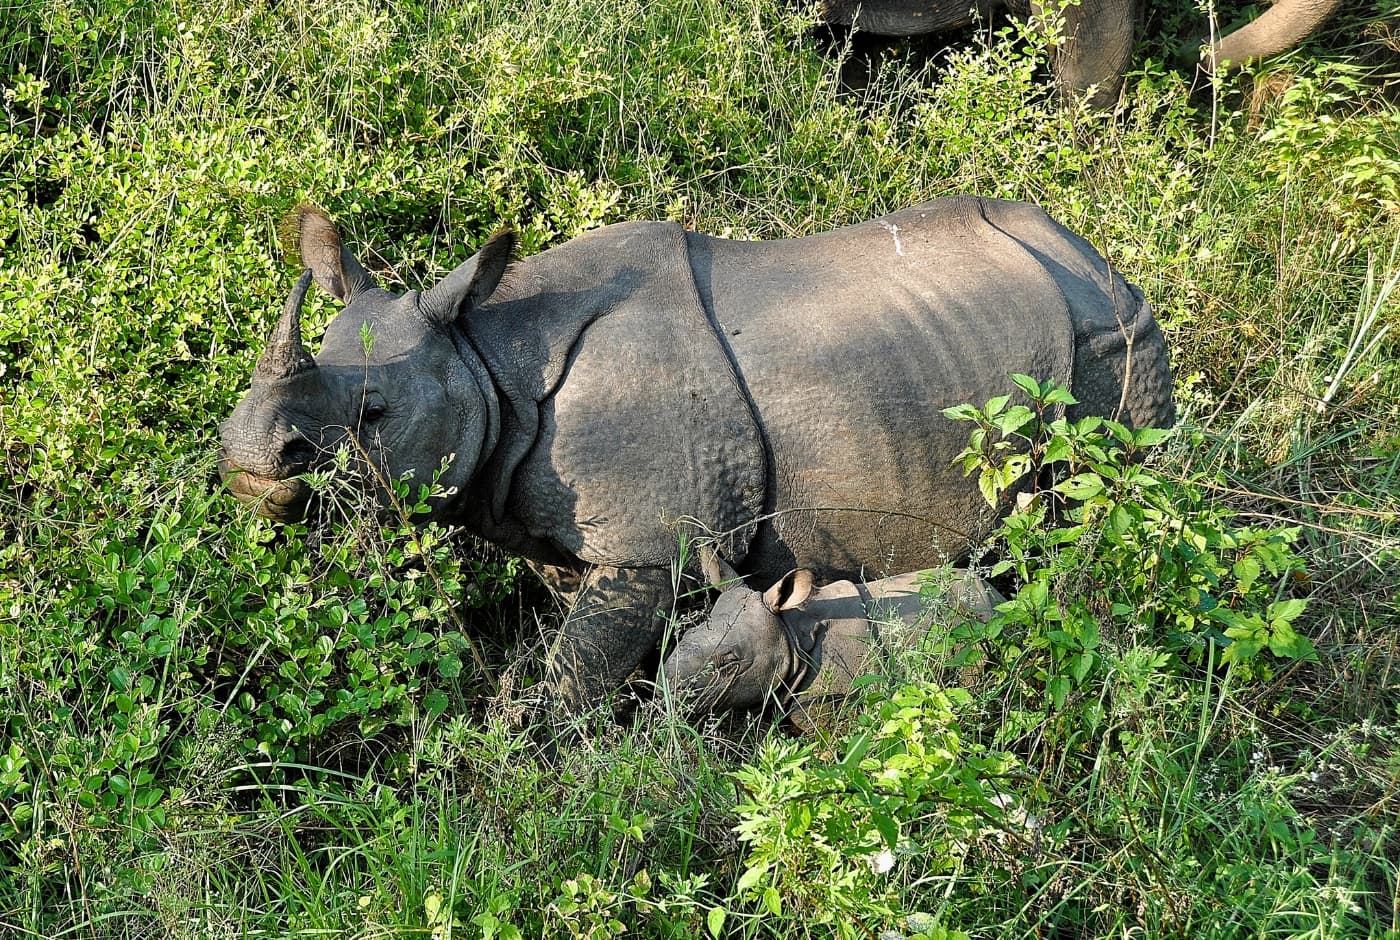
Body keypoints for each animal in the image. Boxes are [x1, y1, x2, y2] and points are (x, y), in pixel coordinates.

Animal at [218, 196, 1173, 710]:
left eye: (374, 413)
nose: (247, 457)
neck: (486, 355)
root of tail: (1087, 249)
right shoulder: (568, 529)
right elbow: (587, 644)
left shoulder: (647, 544)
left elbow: (574, 674)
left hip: (1109, 336)